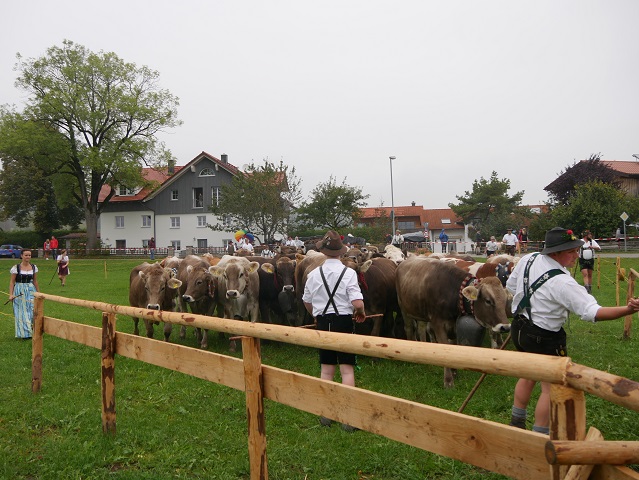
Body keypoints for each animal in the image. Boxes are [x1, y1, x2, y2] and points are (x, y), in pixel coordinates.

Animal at [398, 256, 512, 388]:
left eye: (504, 300)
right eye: (488, 301)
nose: (505, 327)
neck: (452, 291)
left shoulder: (454, 323)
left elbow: (453, 346)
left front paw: (454, 371)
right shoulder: (438, 323)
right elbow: (445, 347)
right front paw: (448, 380)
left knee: (421, 329)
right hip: (404, 308)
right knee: (409, 328)